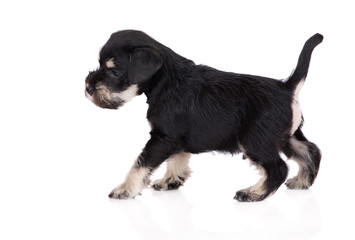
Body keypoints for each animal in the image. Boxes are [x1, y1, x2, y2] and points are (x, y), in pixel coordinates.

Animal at [85, 30, 322, 202]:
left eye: (114, 72)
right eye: (99, 64)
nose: (88, 88)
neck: (165, 80)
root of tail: (288, 87)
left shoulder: (162, 138)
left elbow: (140, 163)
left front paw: (125, 189)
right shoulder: (176, 140)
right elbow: (177, 159)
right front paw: (171, 180)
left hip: (254, 141)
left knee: (278, 168)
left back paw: (253, 193)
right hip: (285, 137)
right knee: (311, 151)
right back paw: (302, 181)